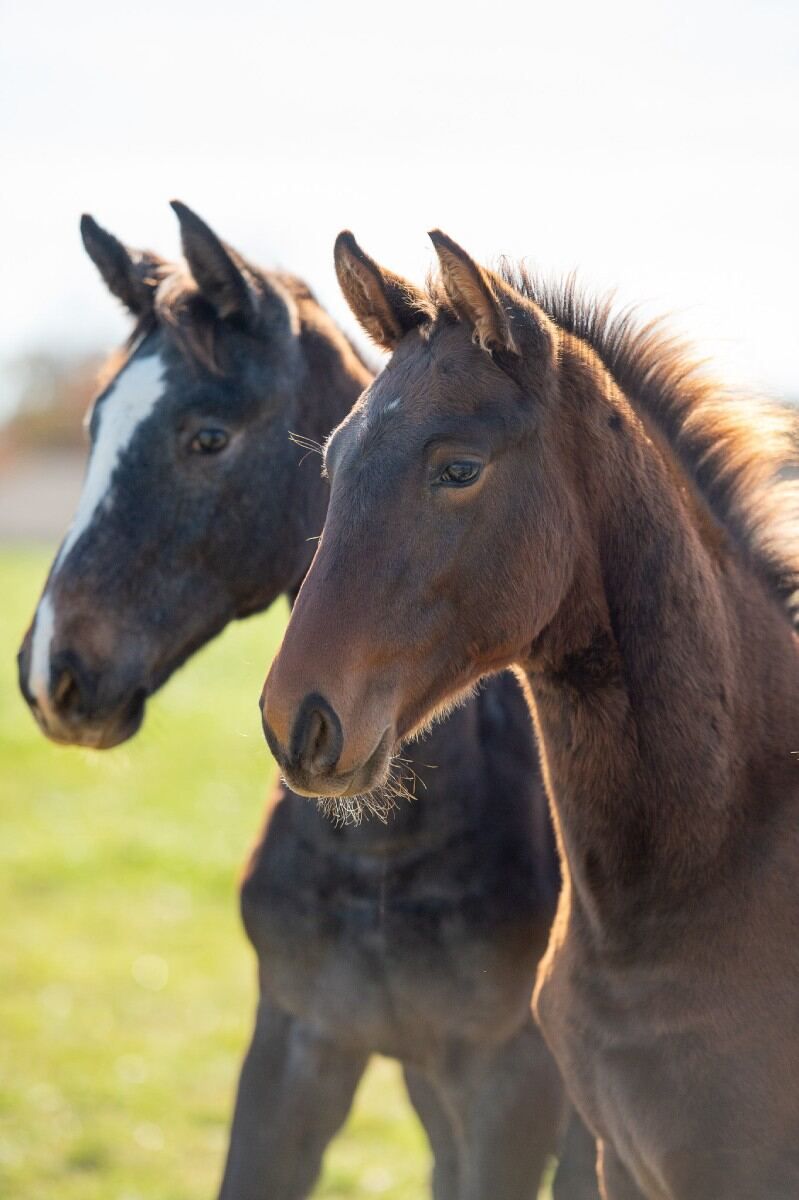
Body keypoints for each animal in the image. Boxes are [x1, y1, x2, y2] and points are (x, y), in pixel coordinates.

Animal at [17, 205, 599, 1199]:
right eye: (94, 424)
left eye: (207, 436)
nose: (52, 671)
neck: (384, 850)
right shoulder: (295, 1045)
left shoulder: (510, 1086)